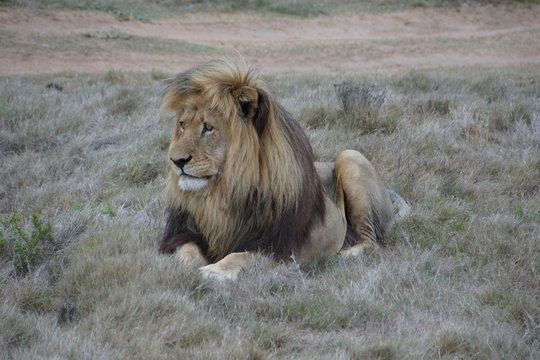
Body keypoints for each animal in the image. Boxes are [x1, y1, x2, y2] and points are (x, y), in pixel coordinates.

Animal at [158, 59, 412, 282]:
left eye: (208, 128)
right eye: (182, 125)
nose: (176, 161)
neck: (224, 192)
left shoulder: (277, 247)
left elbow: (241, 255)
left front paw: (215, 271)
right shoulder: (187, 233)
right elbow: (186, 251)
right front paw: (174, 268)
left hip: (351, 156)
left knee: (371, 240)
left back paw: (345, 255)